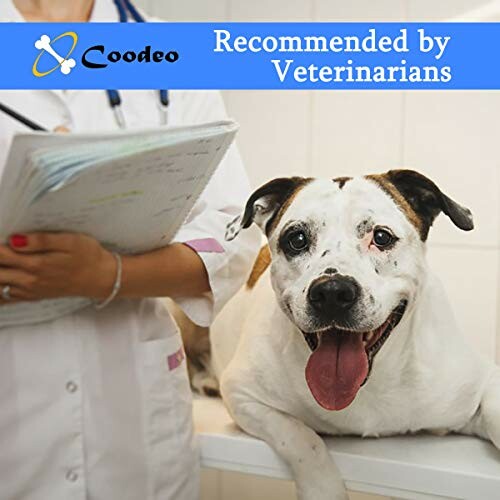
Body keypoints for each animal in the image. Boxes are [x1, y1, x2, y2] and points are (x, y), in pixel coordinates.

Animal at [184, 169, 500, 500]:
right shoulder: (244, 396)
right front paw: (323, 488)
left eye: (381, 237)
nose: (332, 292)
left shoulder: (483, 381)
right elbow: (301, 438)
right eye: (296, 239)